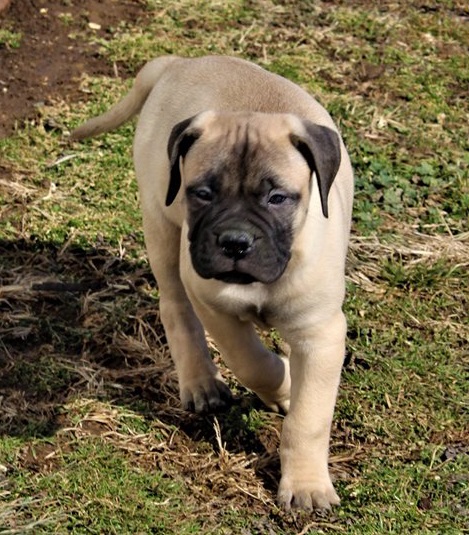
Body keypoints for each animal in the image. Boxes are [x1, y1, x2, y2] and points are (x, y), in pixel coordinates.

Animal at [71, 56, 352, 512]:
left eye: (277, 199)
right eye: (202, 193)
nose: (235, 242)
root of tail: (179, 62)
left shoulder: (320, 333)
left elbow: (308, 418)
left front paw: (307, 485)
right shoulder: (213, 304)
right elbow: (252, 361)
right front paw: (283, 381)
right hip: (163, 230)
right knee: (176, 309)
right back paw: (201, 383)